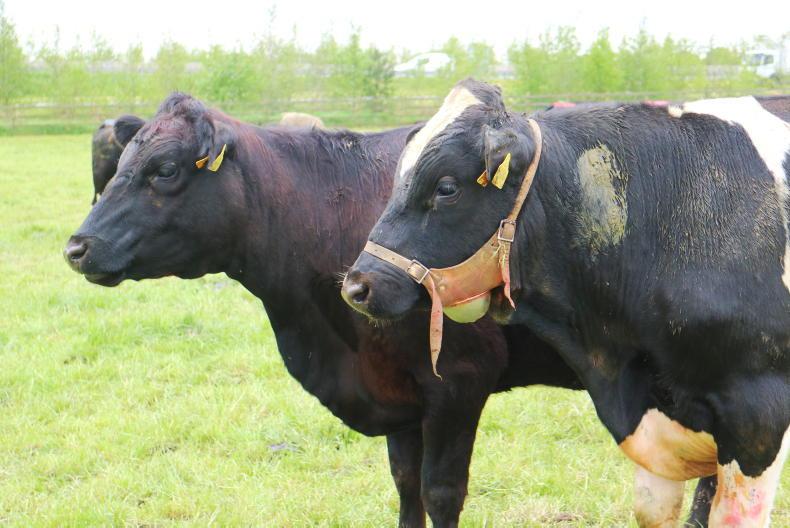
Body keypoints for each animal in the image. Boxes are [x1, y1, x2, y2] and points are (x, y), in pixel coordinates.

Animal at [64, 93, 714, 527]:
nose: (77, 247)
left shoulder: (458, 383)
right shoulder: (398, 396)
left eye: (165, 170)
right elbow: (405, 489)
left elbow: (441, 492)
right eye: (118, 166)